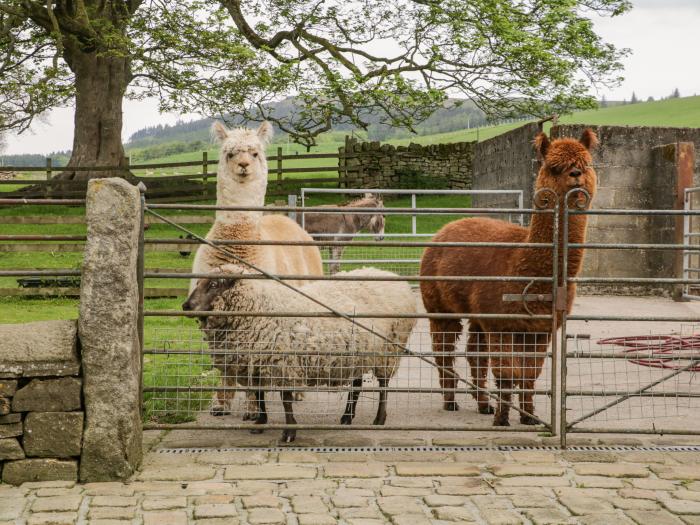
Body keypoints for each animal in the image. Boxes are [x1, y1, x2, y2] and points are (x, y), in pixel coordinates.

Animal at [183, 264, 418, 440]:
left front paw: (289, 432)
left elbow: (286, 400)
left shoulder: (284, 364)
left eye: (214, 284)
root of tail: (391, 276)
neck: (259, 309)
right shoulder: (257, 364)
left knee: (383, 386)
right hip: (356, 353)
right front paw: (260, 422)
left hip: (389, 350)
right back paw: (347, 417)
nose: (186, 306)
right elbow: (259, 395)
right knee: (357, 385)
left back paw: (379, 419)